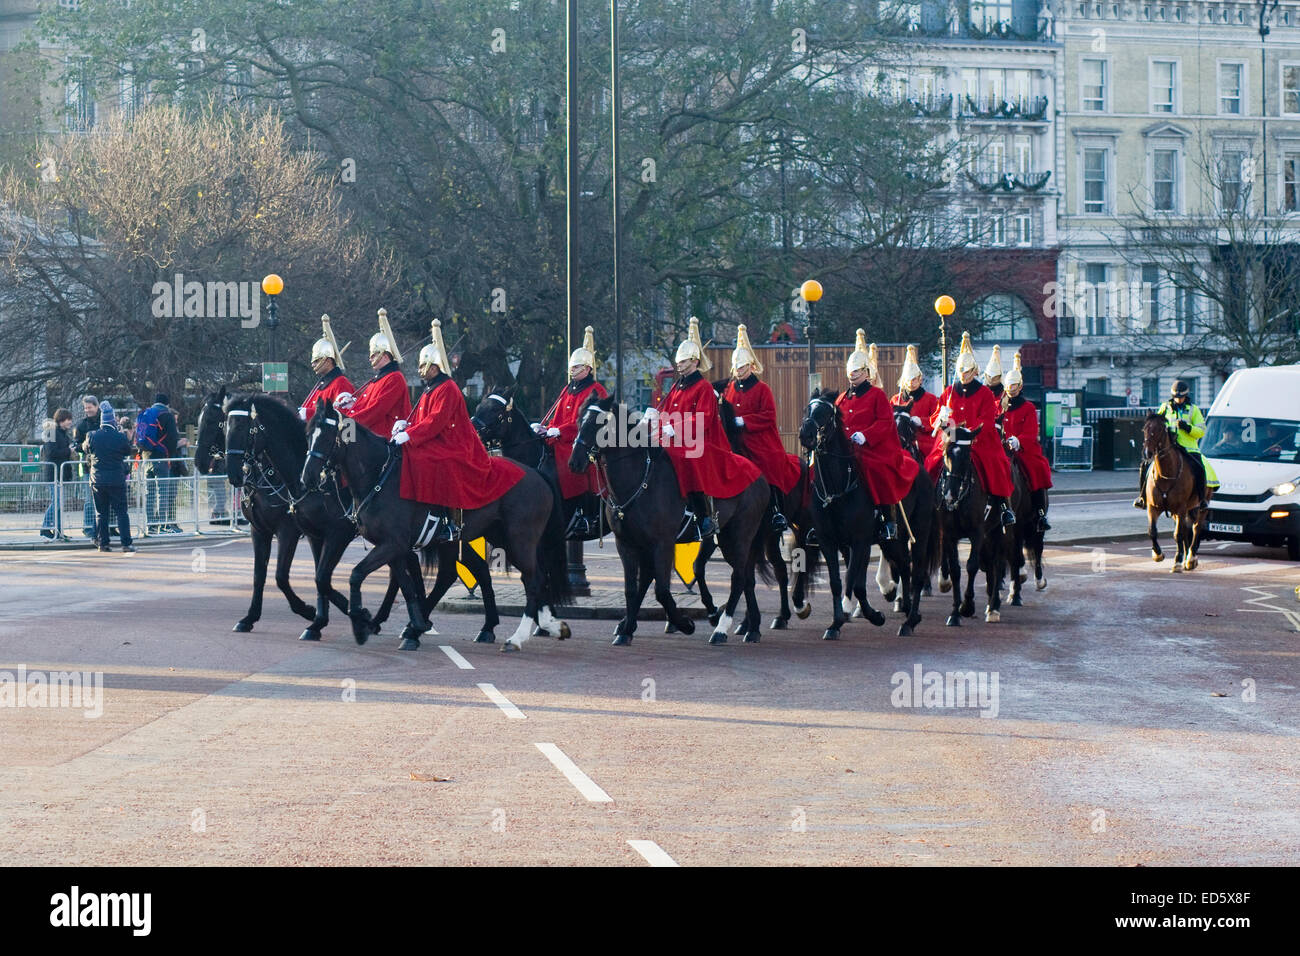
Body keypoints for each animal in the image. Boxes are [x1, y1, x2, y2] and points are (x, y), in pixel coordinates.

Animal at [192, 390, 400, 642]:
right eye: (225, 426)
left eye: (219, 422)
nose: (200, 462)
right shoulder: (263, 531)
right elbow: (261, 576)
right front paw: (251, 618)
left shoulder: (296, 531)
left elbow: (284, 576)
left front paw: (316, 612)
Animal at [306, 395, 572, 650]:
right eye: (309, 434)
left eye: (326, 436)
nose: (307, 478)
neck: (379, 477)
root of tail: (536, 473)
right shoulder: (392, 547)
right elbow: (405, 585)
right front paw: (410, 625)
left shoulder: (391, 544)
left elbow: (356, 574)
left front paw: (362, 623)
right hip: (495, 537)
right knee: (512, 576)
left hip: (519, 540)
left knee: (533, 580)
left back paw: (517, 638)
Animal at [572, 392, 769, 647]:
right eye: (579, 421)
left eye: (601, 424)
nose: (574, 462)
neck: (638, 482)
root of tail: (759, 473)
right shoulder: (627, 543)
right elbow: (633, 588)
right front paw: (626, 629)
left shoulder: (662, 543)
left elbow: (662, 590)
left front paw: (684, 623)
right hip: (725, 538)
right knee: (744, 577)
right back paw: (750, 627)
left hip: (738, 536)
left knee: (738, 578)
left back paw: (721, 629)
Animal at [1144, 408, 1211, 567]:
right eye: (1144, 429)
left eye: (1160, 429)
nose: (1147, 453)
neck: (1165, 474)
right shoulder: (1153, 507)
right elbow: (1152, 531)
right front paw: (1157, 554)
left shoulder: (1180, 507)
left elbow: (1178, 534)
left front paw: (1177, 560)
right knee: (1187, 530)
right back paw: (1186, 556)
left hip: (1200, 506)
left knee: (1196, 528)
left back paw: (1191, 558)